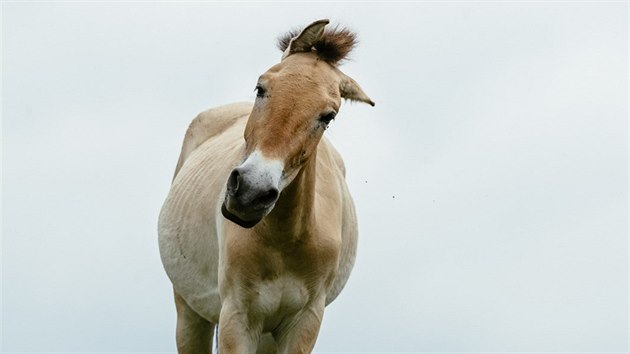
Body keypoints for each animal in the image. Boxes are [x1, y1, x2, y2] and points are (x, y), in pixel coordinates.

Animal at [159, 20, 376, 354]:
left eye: (328, 116)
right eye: (261, 88)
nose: (251, 193)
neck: (284, 241)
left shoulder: (304, 323)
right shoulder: (238, 317)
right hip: (189, 313)